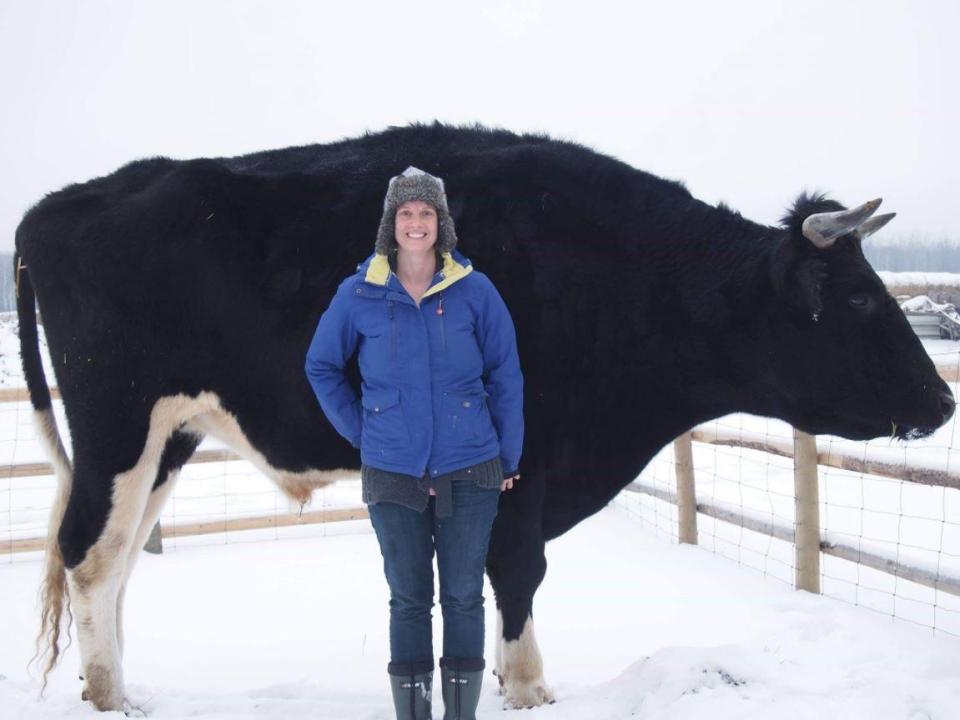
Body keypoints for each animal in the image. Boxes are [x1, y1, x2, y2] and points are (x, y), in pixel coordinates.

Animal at [15, 122, 952, 708]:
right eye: (861, 300)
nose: (943, 400)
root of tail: (66, 202)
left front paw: (504, 679)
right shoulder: (525, 464)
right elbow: (517, 570)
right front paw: (531, 688)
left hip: (166, 439)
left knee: (116, 560)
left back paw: (119, 684)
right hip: (118, 424)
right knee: (90, 556)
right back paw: (110, 695)